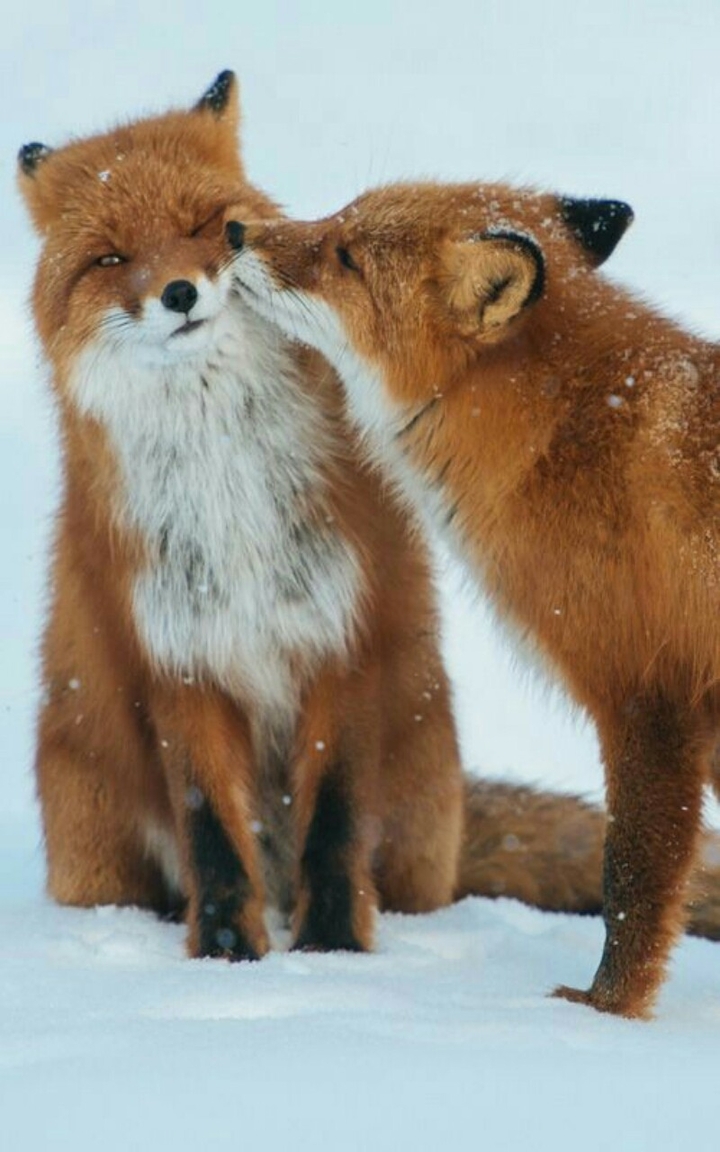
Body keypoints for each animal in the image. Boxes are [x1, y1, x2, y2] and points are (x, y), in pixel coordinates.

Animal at [228, 181, 720, 1014]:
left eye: (345, 256)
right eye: (338, 216)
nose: (233, 230)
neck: (567, 433)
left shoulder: (649, 699)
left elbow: (631, 882)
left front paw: (606, 1013)